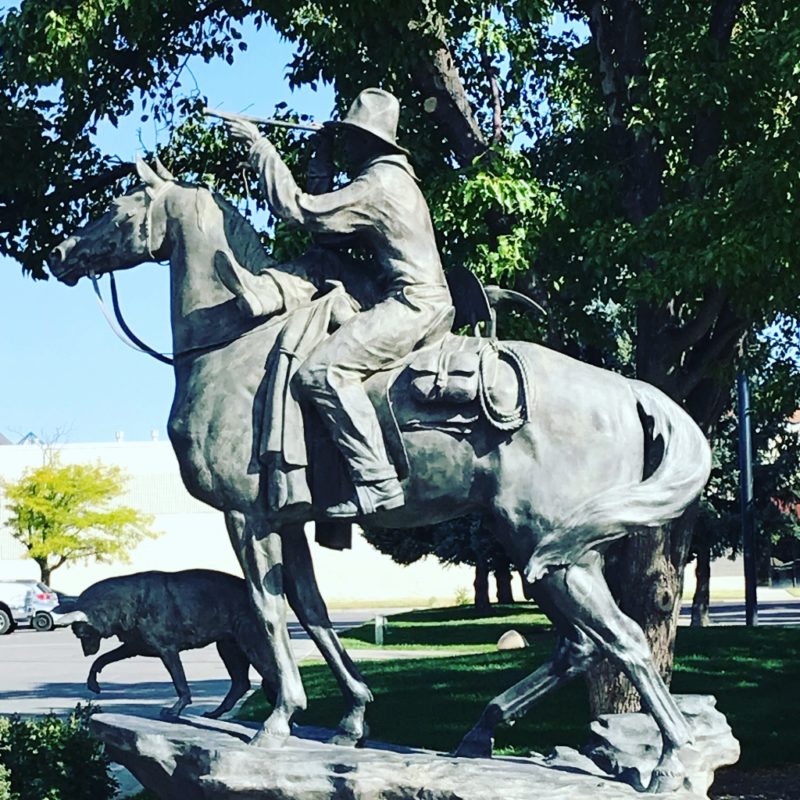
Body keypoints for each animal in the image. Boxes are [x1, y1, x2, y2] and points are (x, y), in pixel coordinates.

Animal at [50, 158, 708, 792]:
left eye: (115, 207)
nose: (61, 253)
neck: (235, 346)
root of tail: (627, 388)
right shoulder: (289, 519)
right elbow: (310, 608)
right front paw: (352, 717)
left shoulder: (247, 517)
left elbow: (269, 611)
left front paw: (278, 720)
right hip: (551, 550)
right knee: (581, 646)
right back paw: (481, 731)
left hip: (548, 547)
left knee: (623, 639)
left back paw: (672, 760)